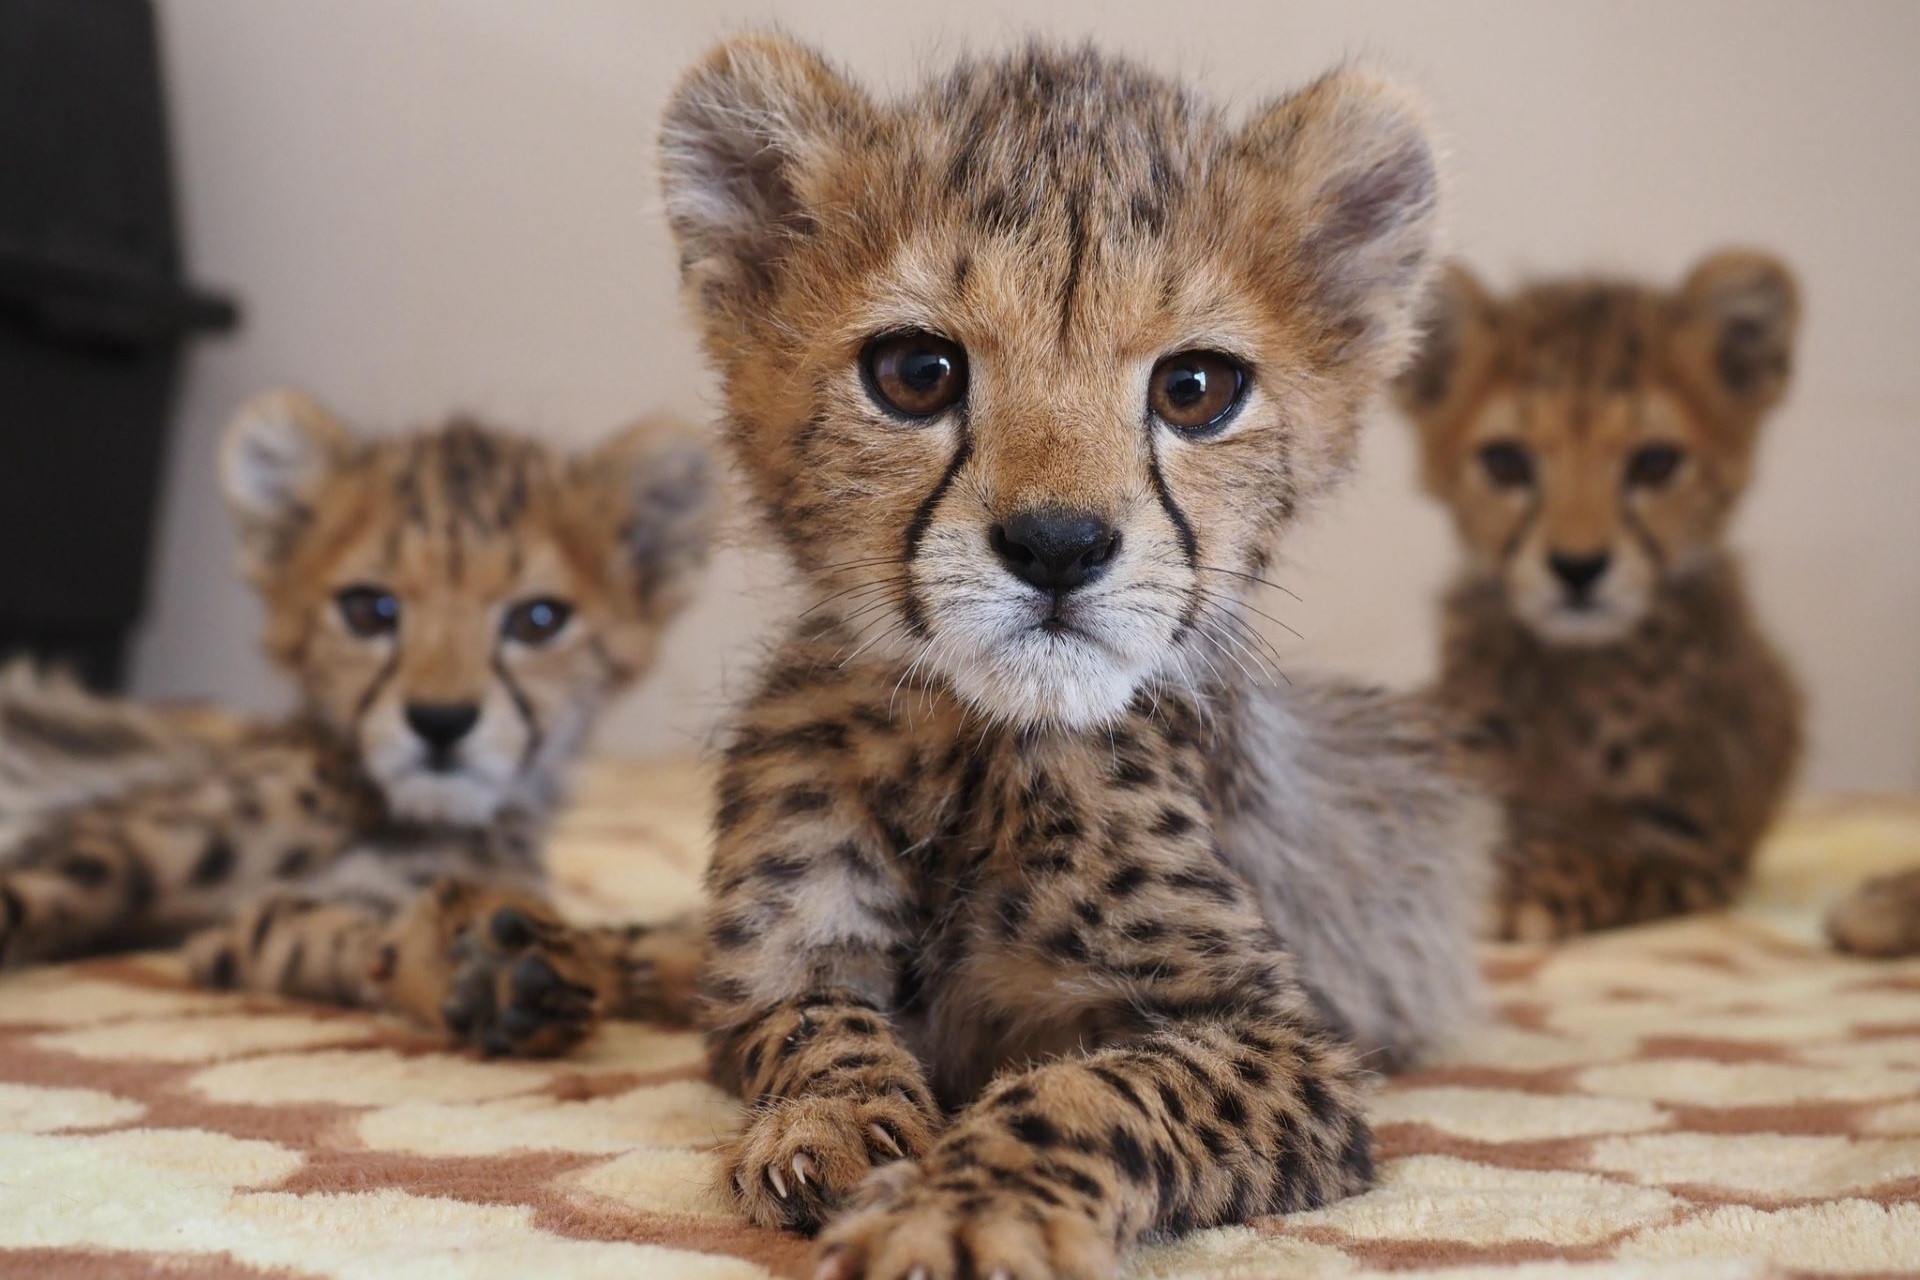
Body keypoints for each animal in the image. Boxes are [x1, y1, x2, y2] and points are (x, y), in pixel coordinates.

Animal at [0, 390, 714, 1055]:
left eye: (538, 620)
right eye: (369, 610)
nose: (441, 721)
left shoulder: (229, 932)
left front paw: (493, 968)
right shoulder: (104, 859)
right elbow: (30, 892)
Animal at [657, 34, 1495, 1279]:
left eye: (1196, 389)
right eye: (915, 371)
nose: (1058, 544)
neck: (975, 752)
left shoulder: (1288, 1040)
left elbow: (1101, 1087)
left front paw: (957, 1212)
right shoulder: (772, 973)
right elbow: (807, 1016)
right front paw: (836, 1117)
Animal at [1393, 252, 1804, 942]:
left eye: (1655, 463)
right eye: (1506, 462)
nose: (1578, 569)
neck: (1569, 666)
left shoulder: (1697, 844)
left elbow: (1589, 855)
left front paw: (1506, 884)